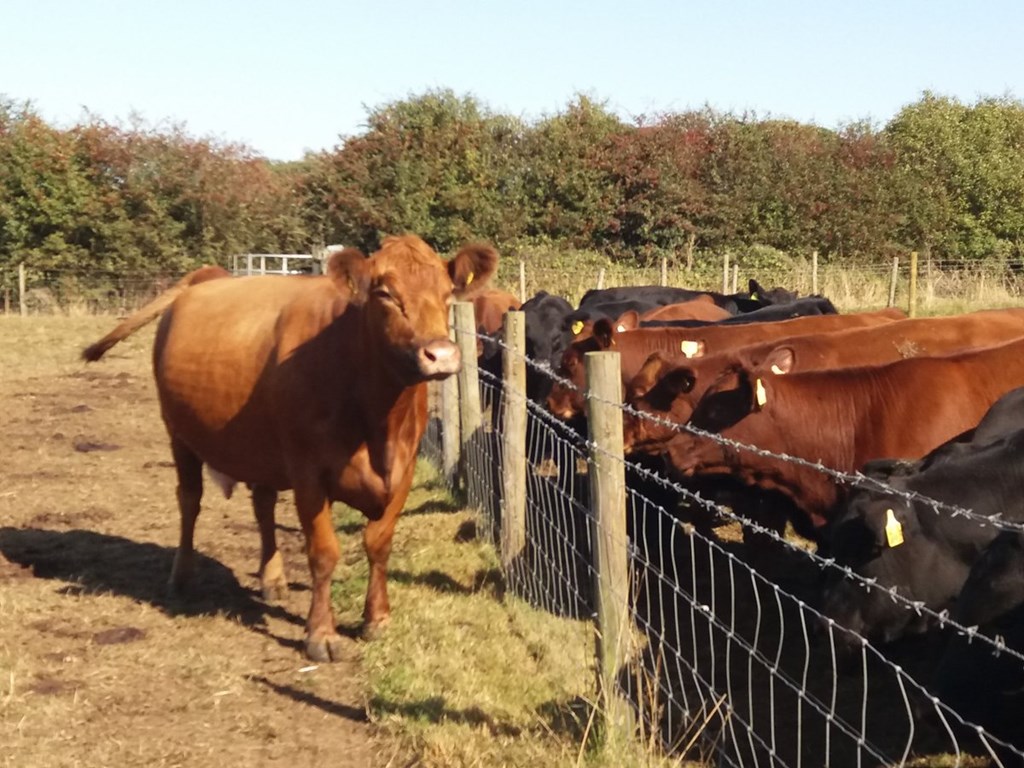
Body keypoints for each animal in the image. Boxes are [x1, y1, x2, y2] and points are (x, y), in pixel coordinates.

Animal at [83, 234, 495, 663]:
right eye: (385, 293)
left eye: (447, 293)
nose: (441, 354)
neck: (378, 419)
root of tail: (208, 275)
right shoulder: (309, 473)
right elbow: (324, 552)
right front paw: (321, 635)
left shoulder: (403, 468)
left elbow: (379, 545)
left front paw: (376, 619)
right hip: (178, 433)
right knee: (190, 500)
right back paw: (182, 578)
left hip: (260, 445)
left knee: (262, 505)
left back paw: (272, 578)